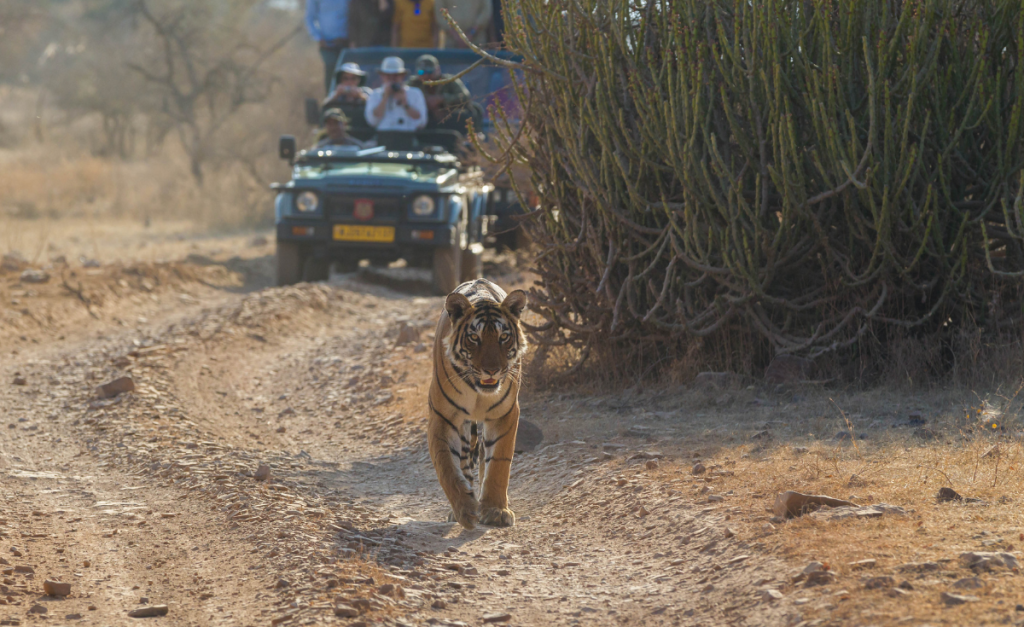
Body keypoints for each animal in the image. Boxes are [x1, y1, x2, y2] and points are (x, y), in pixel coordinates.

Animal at [427, 279, 528, 529]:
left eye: (504, 337)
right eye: (474, 338)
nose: (491, 370)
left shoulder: (505, 414)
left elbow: (498, 464)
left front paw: (495, 510)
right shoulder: (443, 417)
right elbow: (447, 466)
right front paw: (465, 509)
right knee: (464, 462)